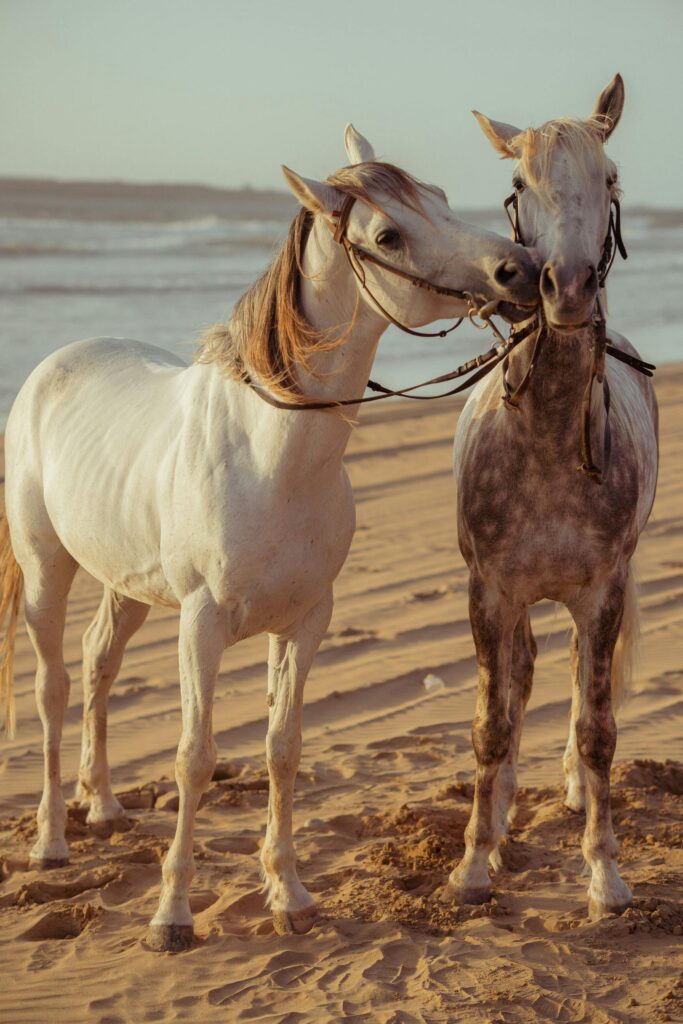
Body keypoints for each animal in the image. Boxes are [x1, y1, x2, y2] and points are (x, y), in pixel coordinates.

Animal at [0, 124, 539, 951]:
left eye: (441, 198)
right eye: (387, 234)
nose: (522, 269)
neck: (269, 453)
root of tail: (53, 367)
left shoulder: (305, 621)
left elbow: (282, 751)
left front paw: (287, 893)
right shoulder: (201, 625)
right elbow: (194, 758)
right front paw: (171, 914)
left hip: (128, 584)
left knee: (97, 666)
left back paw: (104, 806)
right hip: (46, 570)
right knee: (53, 687)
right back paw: (53, 839)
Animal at [447, 75, 658, 921]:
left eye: (610, 180)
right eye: (515, 185)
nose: (565, 288)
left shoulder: (601, 592)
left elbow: (597, 727)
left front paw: (604, 874)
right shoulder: (490, 593)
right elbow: (490, 724)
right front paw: (475, 862)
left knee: (571, 683)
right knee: (520, 679)